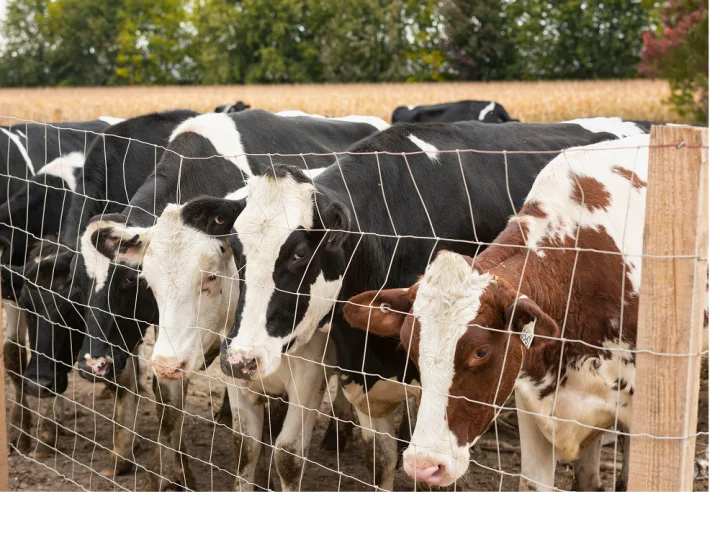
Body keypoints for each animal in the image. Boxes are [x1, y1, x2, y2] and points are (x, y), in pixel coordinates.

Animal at [78, 109, 388, 490]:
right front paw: (172, 479)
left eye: (129, 281)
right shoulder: (176, 342)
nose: (92, 364)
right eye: (148, 281)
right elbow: (167, 405)